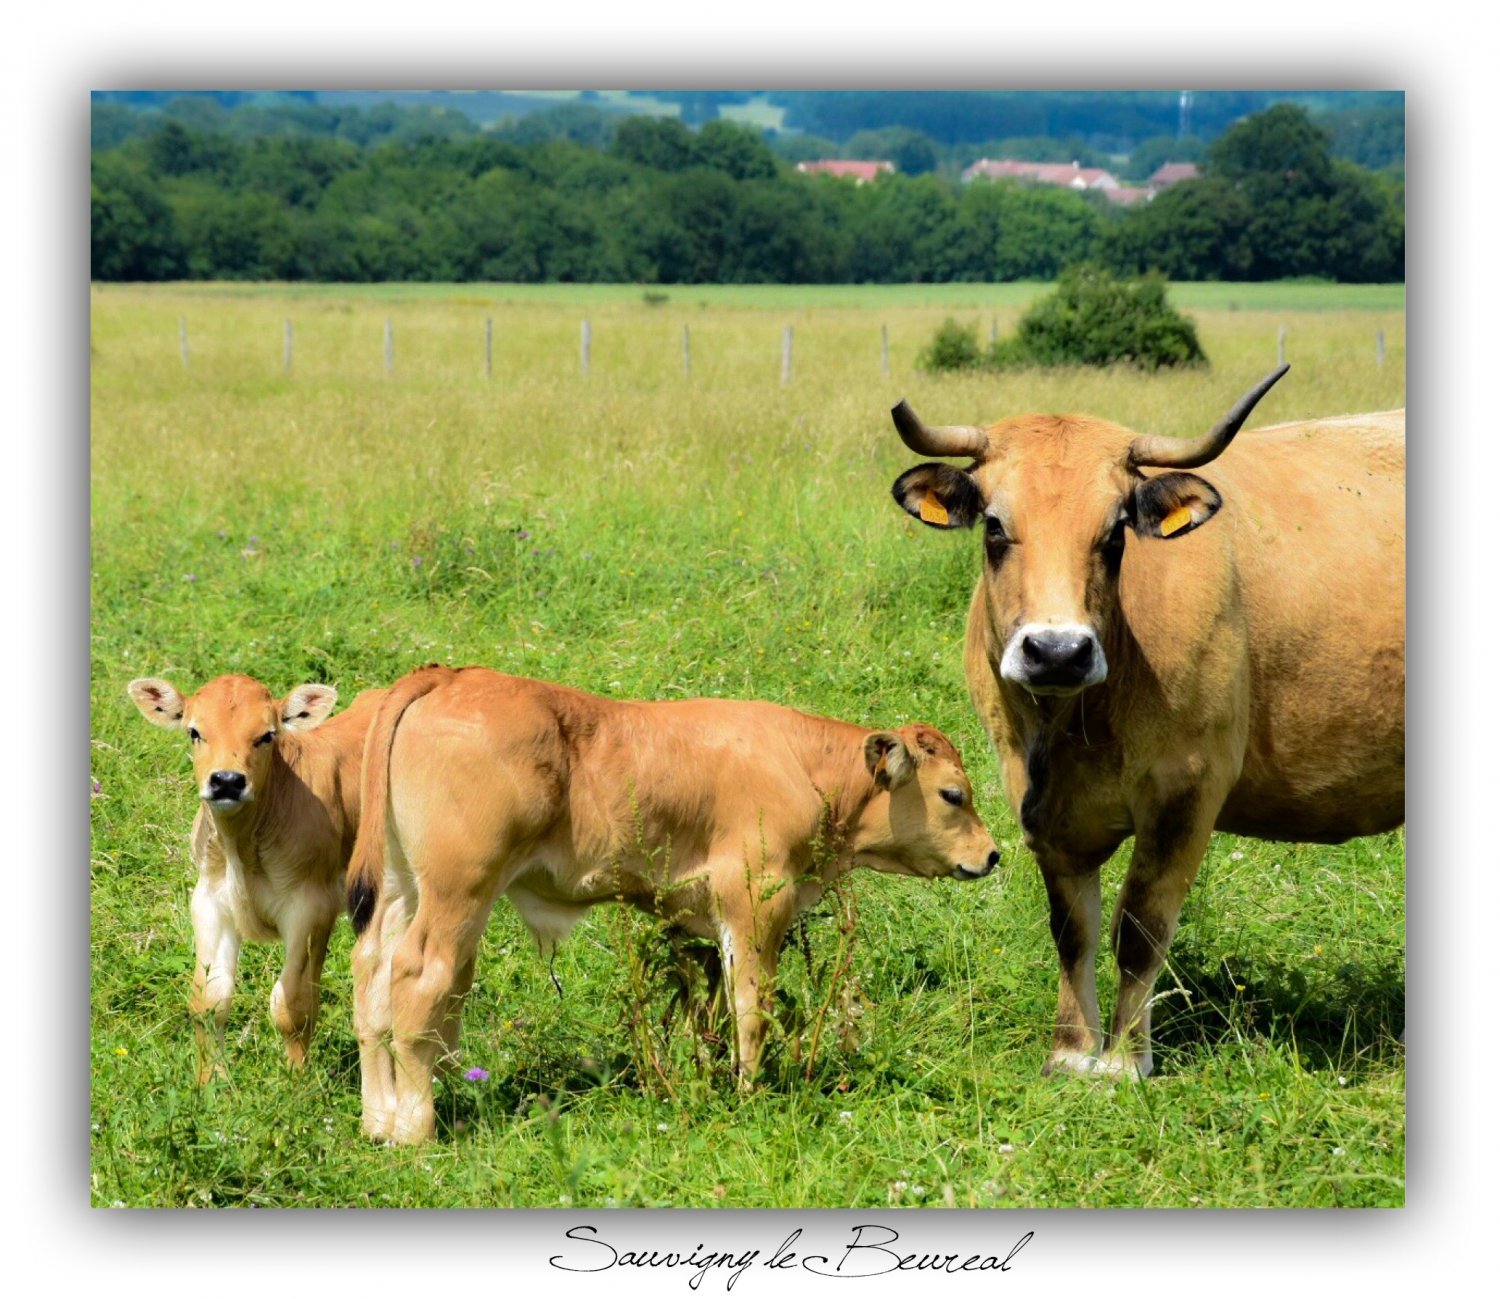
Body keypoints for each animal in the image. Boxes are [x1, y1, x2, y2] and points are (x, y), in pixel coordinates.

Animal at [127, 674, 386, 1082]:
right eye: (194, 732)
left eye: (267, 735)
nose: (227, 781)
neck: (242, 849)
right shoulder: (210, 900)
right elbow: (210, 999)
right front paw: (211, 1081)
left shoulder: (311, 906)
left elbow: (292, 1002)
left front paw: (295, 1080)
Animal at [344, 665, 1001, 1145]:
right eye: (953, 794)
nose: (992, 854)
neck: (801, 765)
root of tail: (449, 675)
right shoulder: (755, 903)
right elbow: (751, 1007)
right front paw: (749, 1094)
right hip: (457, 892)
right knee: (418, 980)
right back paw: (415, 1131)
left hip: (402, 889)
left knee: (372, 980)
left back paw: (379, 1123)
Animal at [887, 366, 1404, 1080]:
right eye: (993, 526)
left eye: (1114, 534)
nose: (1057, 651)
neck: (1070, 726)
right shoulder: (1038, 803)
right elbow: (1071, 928)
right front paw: (1071, 1052)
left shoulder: (1188, 790)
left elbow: (1138, 928)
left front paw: (1126, 1060)